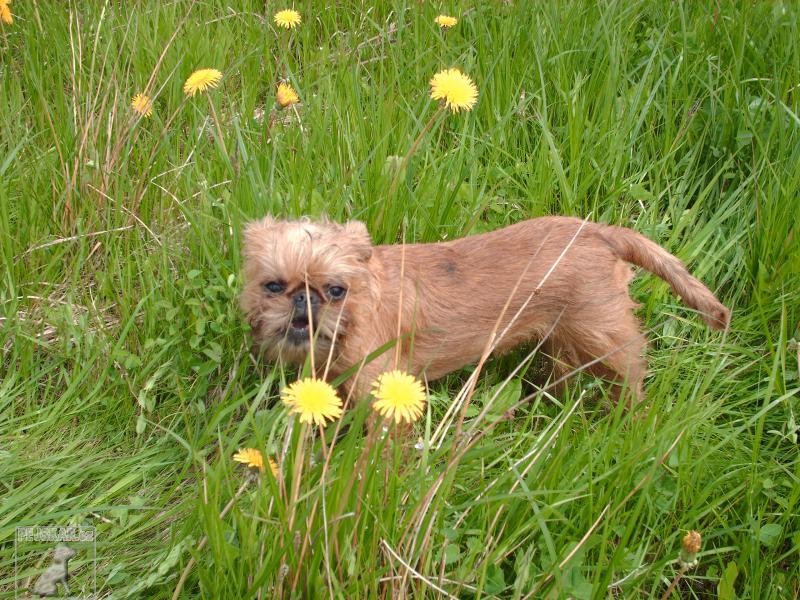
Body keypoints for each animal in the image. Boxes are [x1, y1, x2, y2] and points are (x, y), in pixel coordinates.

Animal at [239, 216, 732, 404]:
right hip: (564, 339)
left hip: (603, 338)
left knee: (630, 375)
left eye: (336, 290)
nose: (304, 298)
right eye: (272, 286)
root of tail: (601, 231)